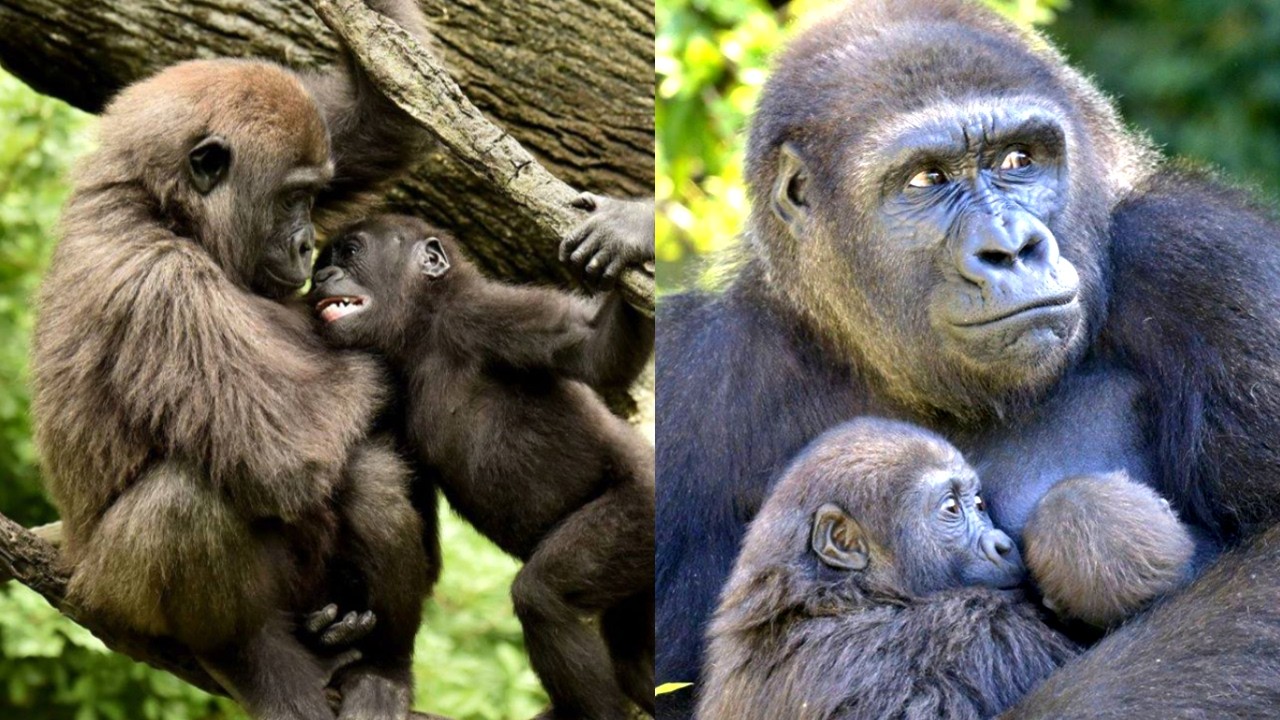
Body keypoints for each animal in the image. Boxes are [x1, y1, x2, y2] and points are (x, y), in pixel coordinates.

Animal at [29, 2, 439, 718]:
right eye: (288, 198)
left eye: (315, 195)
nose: (307, 246)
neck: (160, 206)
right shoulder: (161, 283)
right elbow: (285, 454)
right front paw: (383, 366)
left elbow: (385, 117)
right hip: (113, 594)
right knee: (188, 502)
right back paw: (249, 657)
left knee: (371, 476)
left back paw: (380, 663)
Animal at [309, 211, 656, 720]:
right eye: (322, 263)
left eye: (350, 252)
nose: (321, 278)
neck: (423, 331)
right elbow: (419, 539)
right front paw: (340, 626)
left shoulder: (486, 312)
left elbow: (595, 349)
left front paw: (632, 232)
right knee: (636, 659)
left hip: (644, 507)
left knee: (544, 597)